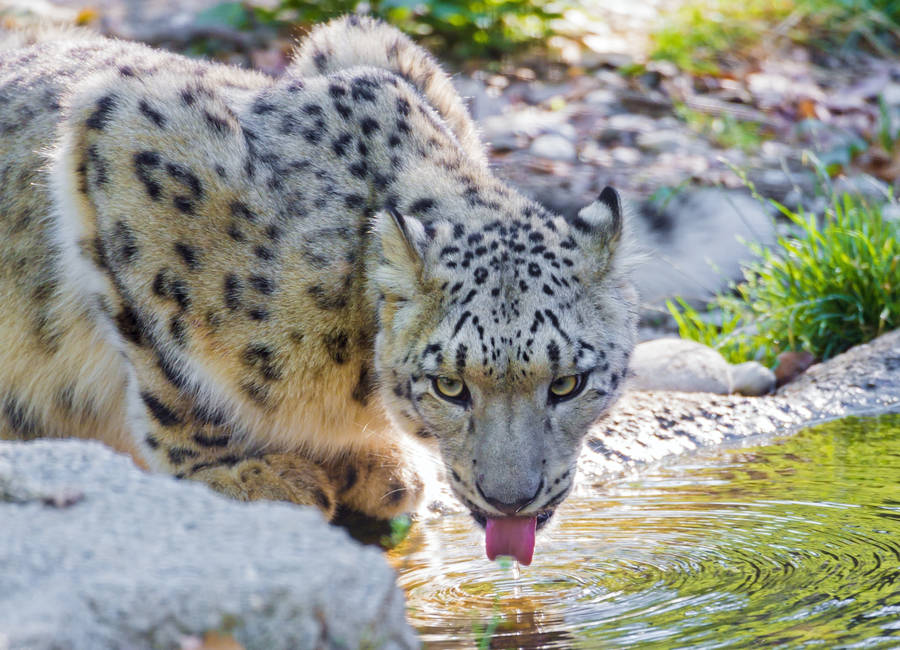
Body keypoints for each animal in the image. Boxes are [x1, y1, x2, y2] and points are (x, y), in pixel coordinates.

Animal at [0, 15, 637, 552]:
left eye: (569, 383)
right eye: (450, 386)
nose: (511, 500)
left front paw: (378, 464)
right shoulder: (124, 131)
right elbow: (169, 367)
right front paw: (235, 473)